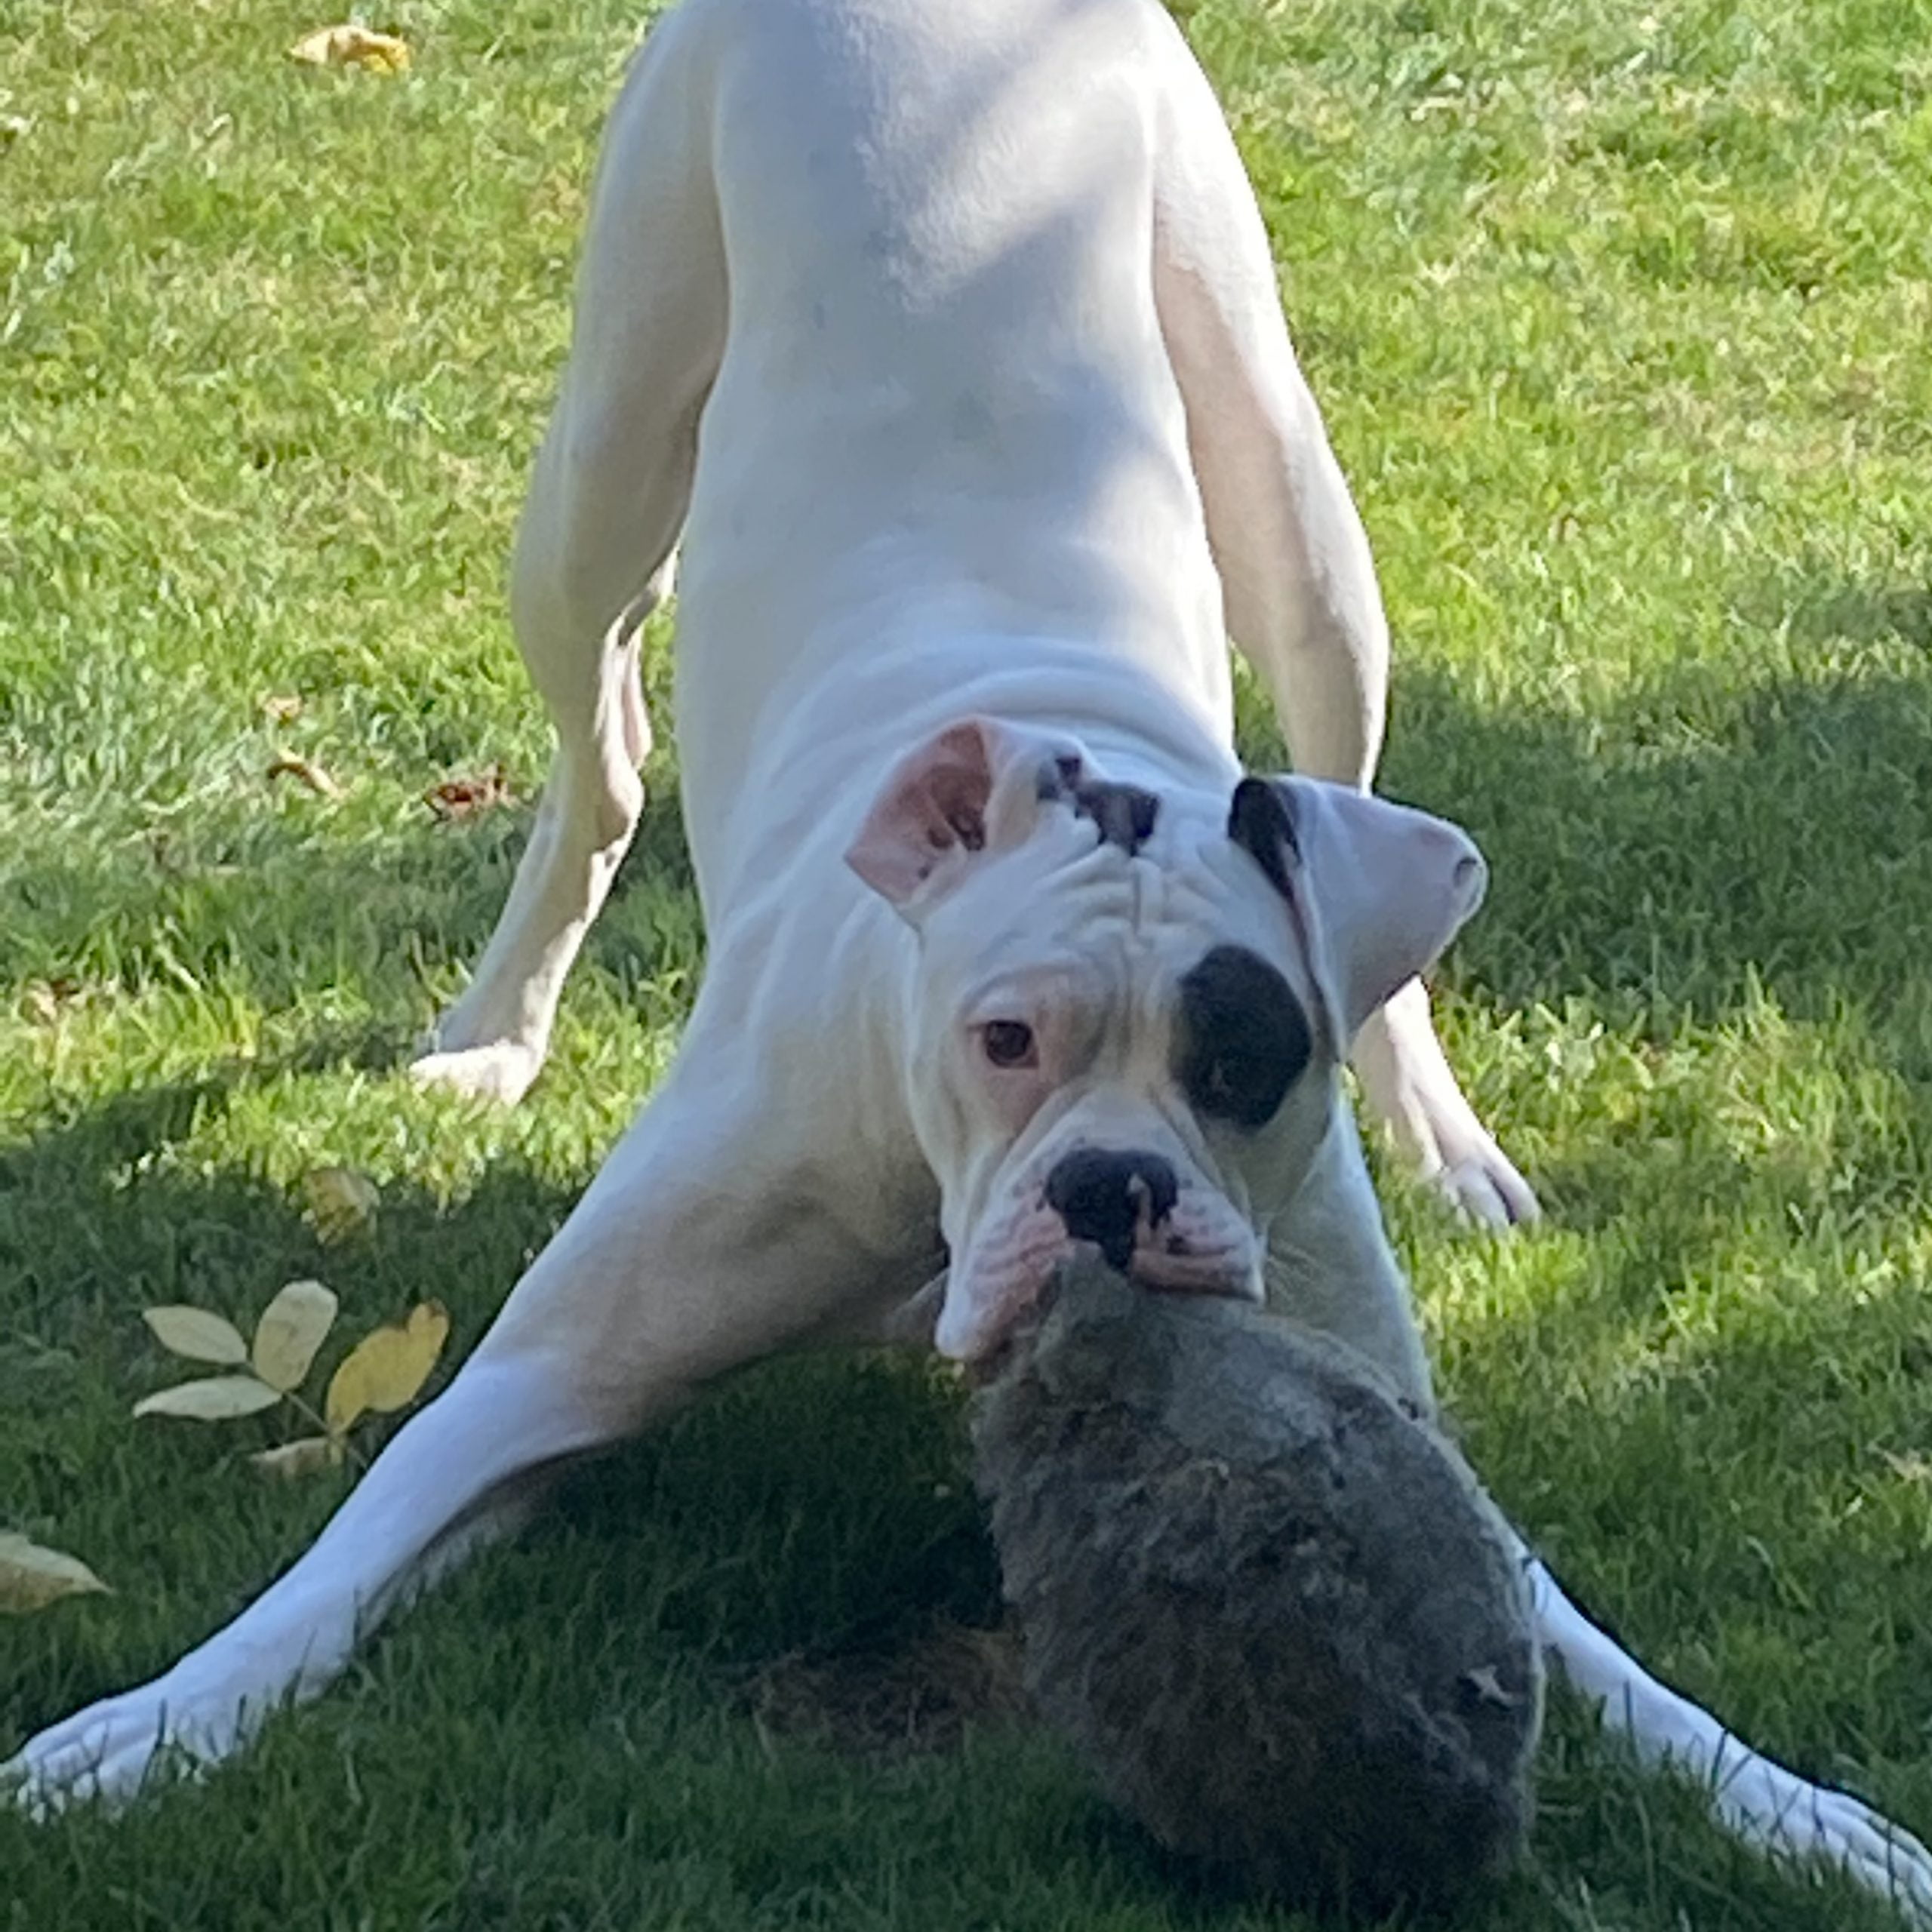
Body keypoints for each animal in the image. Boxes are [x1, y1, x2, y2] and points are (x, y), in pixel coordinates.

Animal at [12, 0, 1930, 1914]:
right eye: (1001, 1037)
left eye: (1248, 1061)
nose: (1107, 1190)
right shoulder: (537, 1377)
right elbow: (331, 1568)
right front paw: (141, 1730)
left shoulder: (1387, 1413)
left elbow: (1600, 1655)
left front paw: (1806, 1814)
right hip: (597, 466)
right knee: (601, 737)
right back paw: (496, 1023)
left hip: (1298, 517)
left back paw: (1449, 1141)